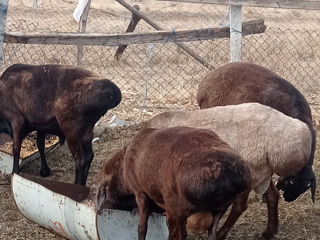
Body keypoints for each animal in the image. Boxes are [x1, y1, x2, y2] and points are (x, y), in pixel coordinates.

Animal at [90, 126, 250, 239]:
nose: (99, 211)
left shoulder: (140, 192)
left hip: (175, 208)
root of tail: (228, 177)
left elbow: (142, 228)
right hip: (219, 209)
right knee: (210, 235)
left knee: (175, 235)